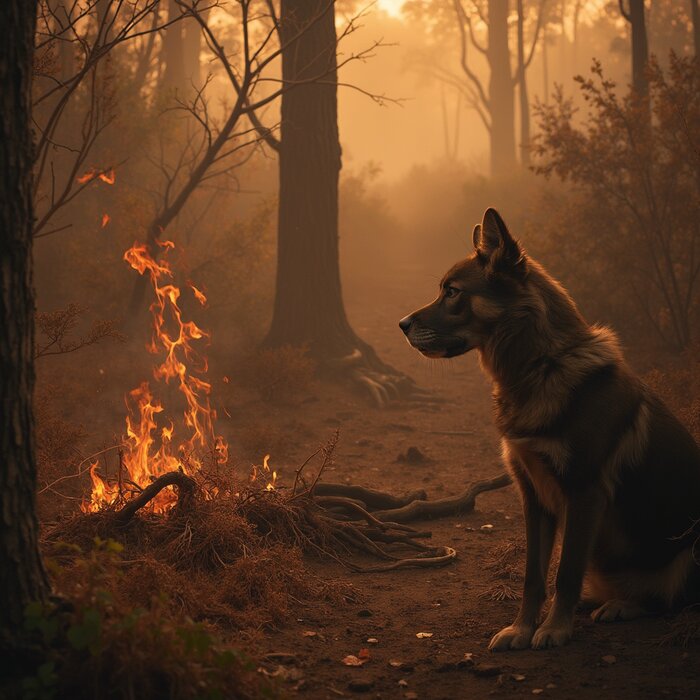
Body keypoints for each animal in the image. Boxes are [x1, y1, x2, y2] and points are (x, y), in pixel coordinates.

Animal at [400, 208, 700, 652]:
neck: (542, 366)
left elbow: (565, 572)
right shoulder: (533, 495)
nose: (401, 324)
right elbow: (534, 577)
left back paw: (621, 606)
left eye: (452, 292)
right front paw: (522, 628)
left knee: (668, 601)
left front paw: (555, 628)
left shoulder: (584, 492)